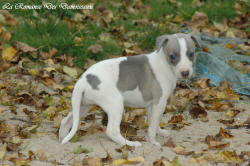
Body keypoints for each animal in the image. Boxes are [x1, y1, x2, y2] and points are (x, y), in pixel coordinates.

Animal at [58, 32, 201, 147]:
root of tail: (83, 80)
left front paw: (160, 132)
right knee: (112, 131)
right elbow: (153, 125)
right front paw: (153, 142)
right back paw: (130, 143)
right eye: (172, 56)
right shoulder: (159, 102)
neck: (164, 64)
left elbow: (153, 122)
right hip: (115, 104)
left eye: (191, 54)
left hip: (83, 105)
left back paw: (63, 139)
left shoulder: (152, 104)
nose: (185, 73)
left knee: (66, 121)